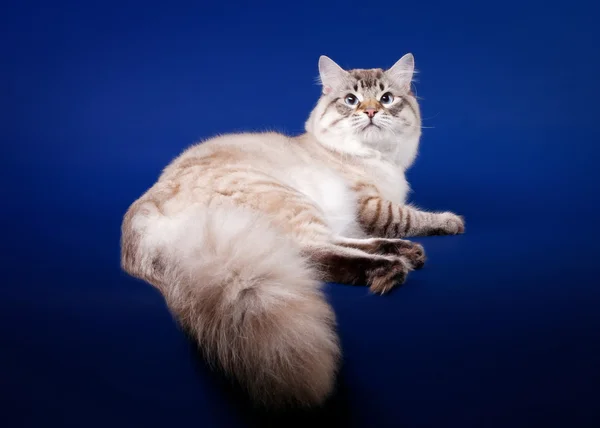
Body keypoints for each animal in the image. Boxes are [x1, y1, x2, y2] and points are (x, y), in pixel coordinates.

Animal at [120, 52, 464, 408]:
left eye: (386, 99)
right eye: (351, 100)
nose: (369, 111)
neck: (376, 159)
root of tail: (145, 209)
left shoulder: (363, 215)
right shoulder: (373, 206)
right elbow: (409, 217)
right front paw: (451, 221)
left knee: (335, 246)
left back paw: (406, 253)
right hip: (291, 204)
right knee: (312, 251)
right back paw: (391, 268)